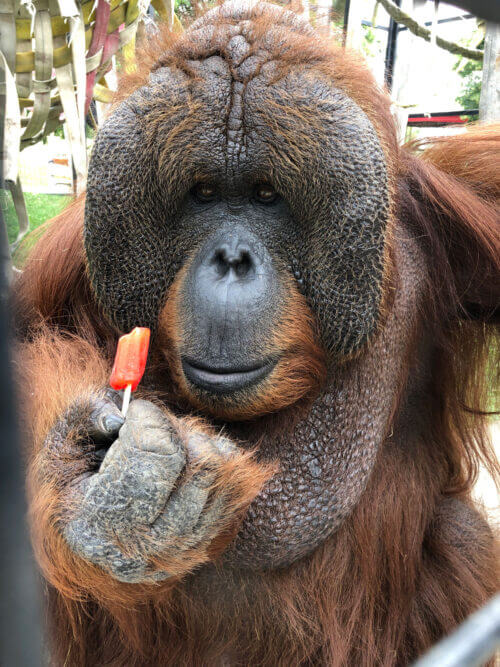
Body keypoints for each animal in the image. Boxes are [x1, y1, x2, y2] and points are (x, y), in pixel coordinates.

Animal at [13, 2, 499, 664]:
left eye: (267, 195)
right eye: (204, 193)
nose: (232, 257)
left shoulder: (458, 211)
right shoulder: (72, 254)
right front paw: (101, 482)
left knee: (461, 532)